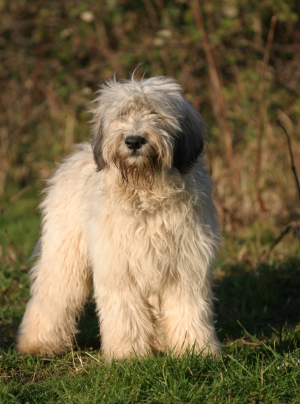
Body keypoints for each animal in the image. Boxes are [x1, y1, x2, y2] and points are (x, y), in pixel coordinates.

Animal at [17, 76, 223, 360]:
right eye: (123, 114)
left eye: (155, 113)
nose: (134, 141)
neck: (146, 193)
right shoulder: (119, 267)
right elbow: (126, 314)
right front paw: (129, 354)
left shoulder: (185, 265)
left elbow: (187, 310)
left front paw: (194, 350)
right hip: (64, 255)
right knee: (53, 296)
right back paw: (38, 342)